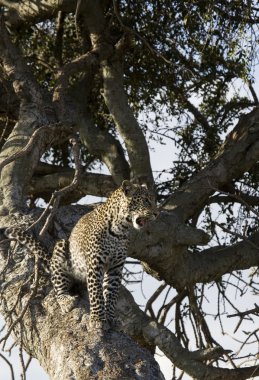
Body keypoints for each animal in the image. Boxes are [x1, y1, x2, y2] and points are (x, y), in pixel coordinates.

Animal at [3, 181, 158, 330]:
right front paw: (97, 320)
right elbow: (96, 293)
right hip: (61, 248)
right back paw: (66, 301)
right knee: (58, 288)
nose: (157, 214)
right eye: (145, 200)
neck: (120, 229)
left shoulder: (116, 267)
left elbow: (112, 295)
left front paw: (112, 318)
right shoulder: (95, 264)